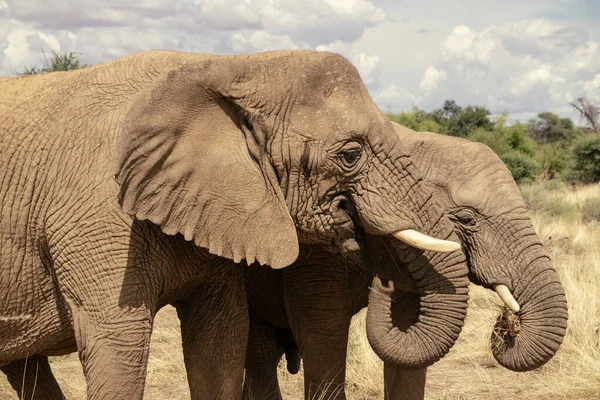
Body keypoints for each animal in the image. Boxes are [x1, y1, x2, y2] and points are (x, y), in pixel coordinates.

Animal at [0, 50, 464, 400]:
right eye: (351, 155)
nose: (385, 281)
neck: (228, 68)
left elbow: (221, 340)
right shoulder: (96, 215)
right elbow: (118, 346)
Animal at [241, 122, 568, 400]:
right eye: (466, 219)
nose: (508, 321)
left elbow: (407, 337)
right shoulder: (316, 248)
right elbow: (323, 332)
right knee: (259, 354)